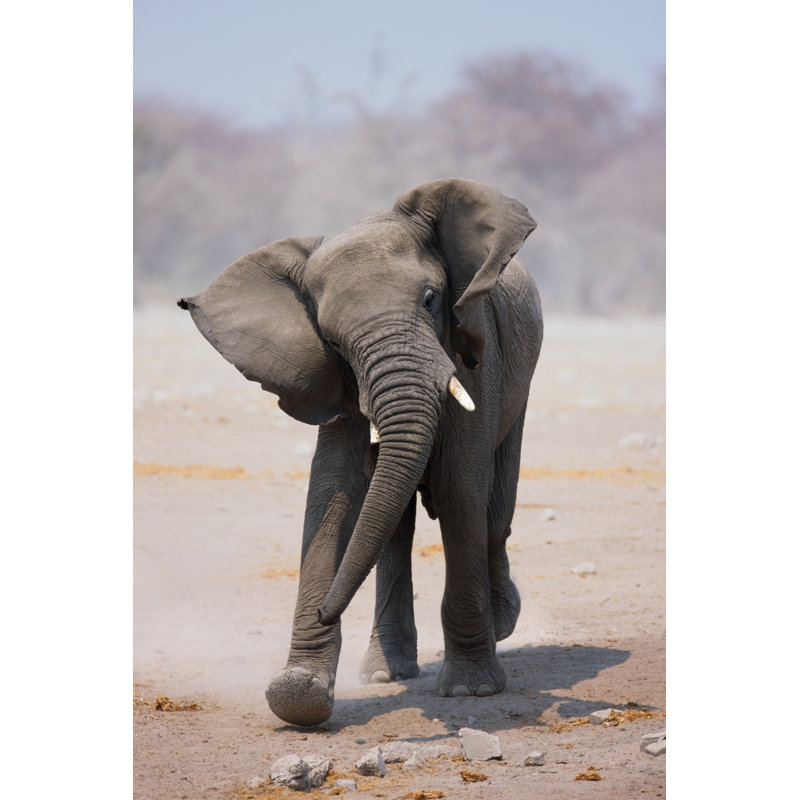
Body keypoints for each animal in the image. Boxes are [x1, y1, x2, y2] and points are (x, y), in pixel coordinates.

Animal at [178, 178, 543, 726]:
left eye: (431, 300)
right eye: (330, 338)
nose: (325, 610)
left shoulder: (476, 354)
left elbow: (460, 486)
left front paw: (471, 690)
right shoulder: (337, 381)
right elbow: (335, 492)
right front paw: (299, 694)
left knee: (494, 510)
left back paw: (503, 622)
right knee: (395, 525)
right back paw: (385, 673)